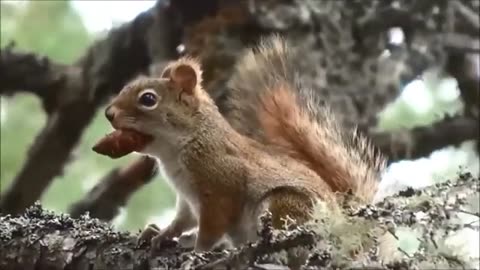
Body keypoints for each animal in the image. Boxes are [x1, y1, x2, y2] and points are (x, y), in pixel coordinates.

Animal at [102, 34, 386, 252]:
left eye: (148, 99)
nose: (108, 113)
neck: (181, 147)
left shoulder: (221, 186)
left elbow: (212, 227)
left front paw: (198, 251)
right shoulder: (187, 199)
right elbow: (182, 221)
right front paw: (160, 234)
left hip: (285, 207)